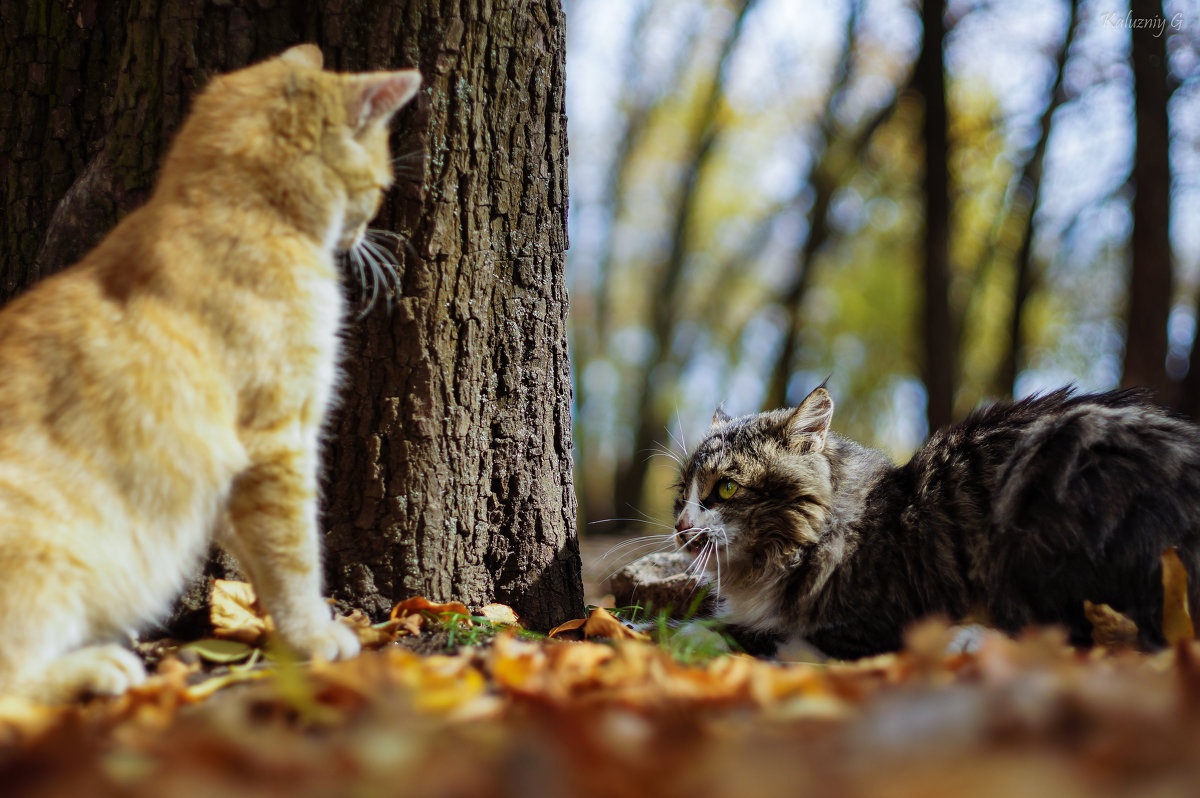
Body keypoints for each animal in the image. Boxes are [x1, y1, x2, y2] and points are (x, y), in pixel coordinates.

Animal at [0, 46, 422, 700]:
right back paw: (99, 668)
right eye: (380, 186)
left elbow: (262, 562)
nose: (366, 230)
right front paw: (315, 634)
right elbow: (293, 555)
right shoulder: (277, 442)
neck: (238, 210)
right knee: (16, 681)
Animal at [676, 384, 1200, 657]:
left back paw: (966, 638)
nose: (681, 525)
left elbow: (767, 636)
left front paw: (682, 633)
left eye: (726, 488)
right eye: (682, 493)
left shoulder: (871, 624)